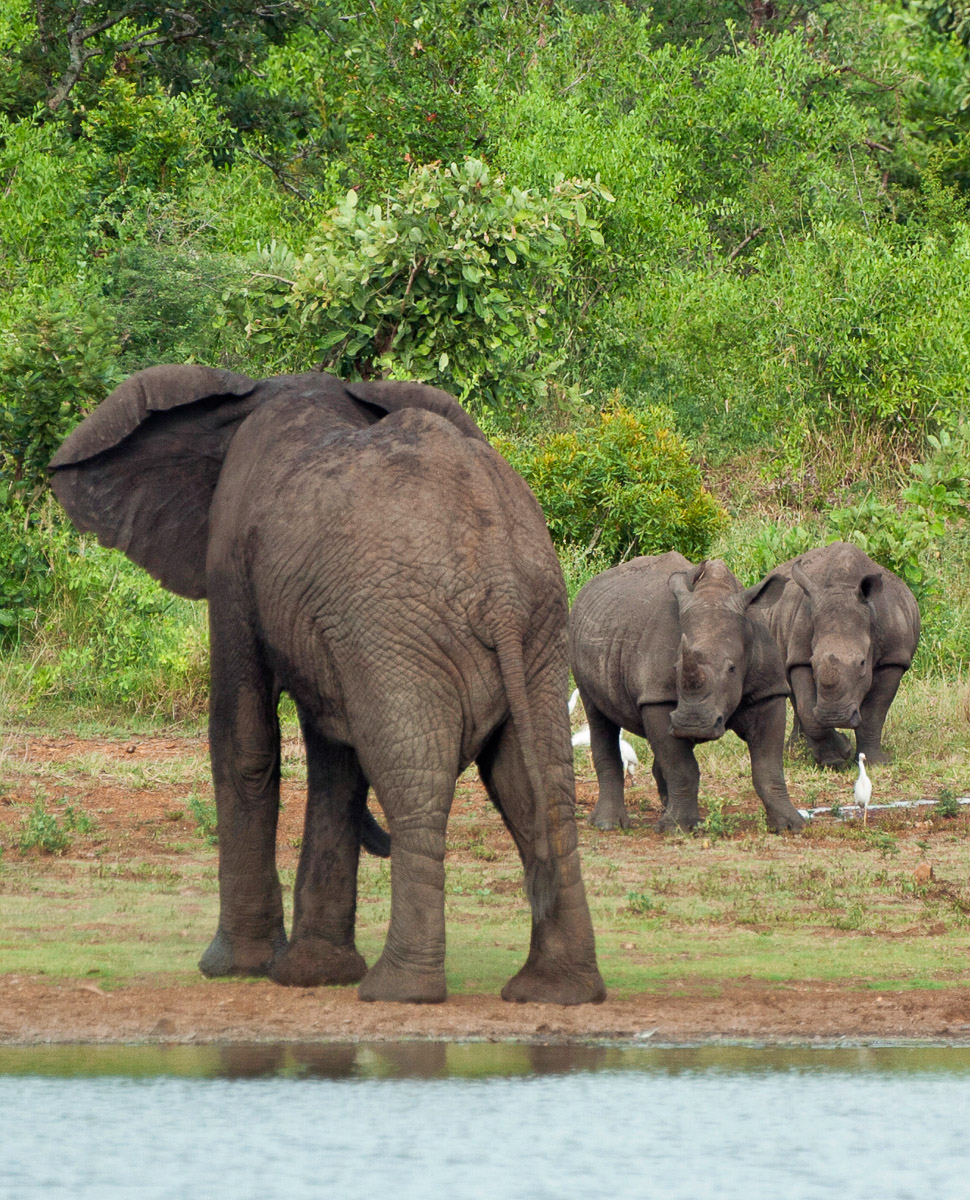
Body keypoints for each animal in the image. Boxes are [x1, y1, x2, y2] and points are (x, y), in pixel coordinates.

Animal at [49, 365, 606, 1006]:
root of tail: (502, 592)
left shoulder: (233, 556)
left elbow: (244, 740)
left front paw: (234, 967)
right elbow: (337, 760)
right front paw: (314, 972)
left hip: (399, 626)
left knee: (416, 782)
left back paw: (398, 990)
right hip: (531, 629)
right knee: (538, 784)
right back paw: (556, 991)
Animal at [568, 552, 805, 834]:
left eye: (732, 669)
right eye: (675, 668)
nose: (693, 724)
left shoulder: (768, 691)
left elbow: (768, 766)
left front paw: (790, 826)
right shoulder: (657, 697)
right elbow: (682, 768)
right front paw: (677, 828)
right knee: (598, 718)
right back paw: (609, 825)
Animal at [749, 541, 920, 767]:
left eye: (863, 663)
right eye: (813, 661)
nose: (834, 717)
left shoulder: (893, 659)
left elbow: (874, 715)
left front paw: (876, 762)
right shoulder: (800, 656)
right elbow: (807, 708)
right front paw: (836, 757)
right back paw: (796, 750)